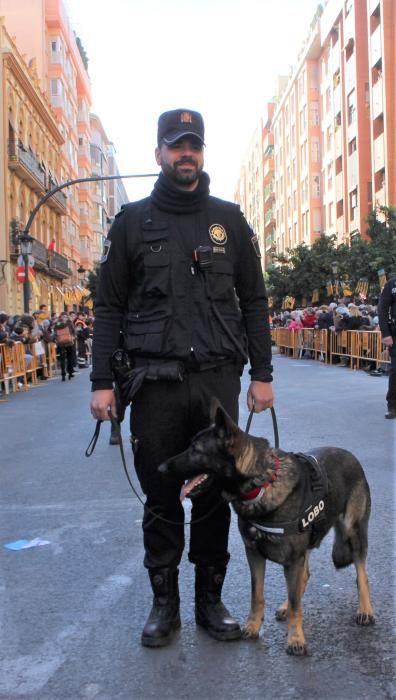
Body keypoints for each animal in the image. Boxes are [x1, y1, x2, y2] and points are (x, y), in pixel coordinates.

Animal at [159, 400, 374, 656]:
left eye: (196, 450)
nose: (160, 468)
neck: (261, 484)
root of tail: (350, 455)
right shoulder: (254, 554)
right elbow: (258, 594)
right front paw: (253, 626)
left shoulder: (292, 558)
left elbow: (296, 604)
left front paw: (296, 639)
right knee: (304, 576)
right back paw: (285, 606)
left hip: (353, 532)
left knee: (361, 573)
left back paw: (365, 610)